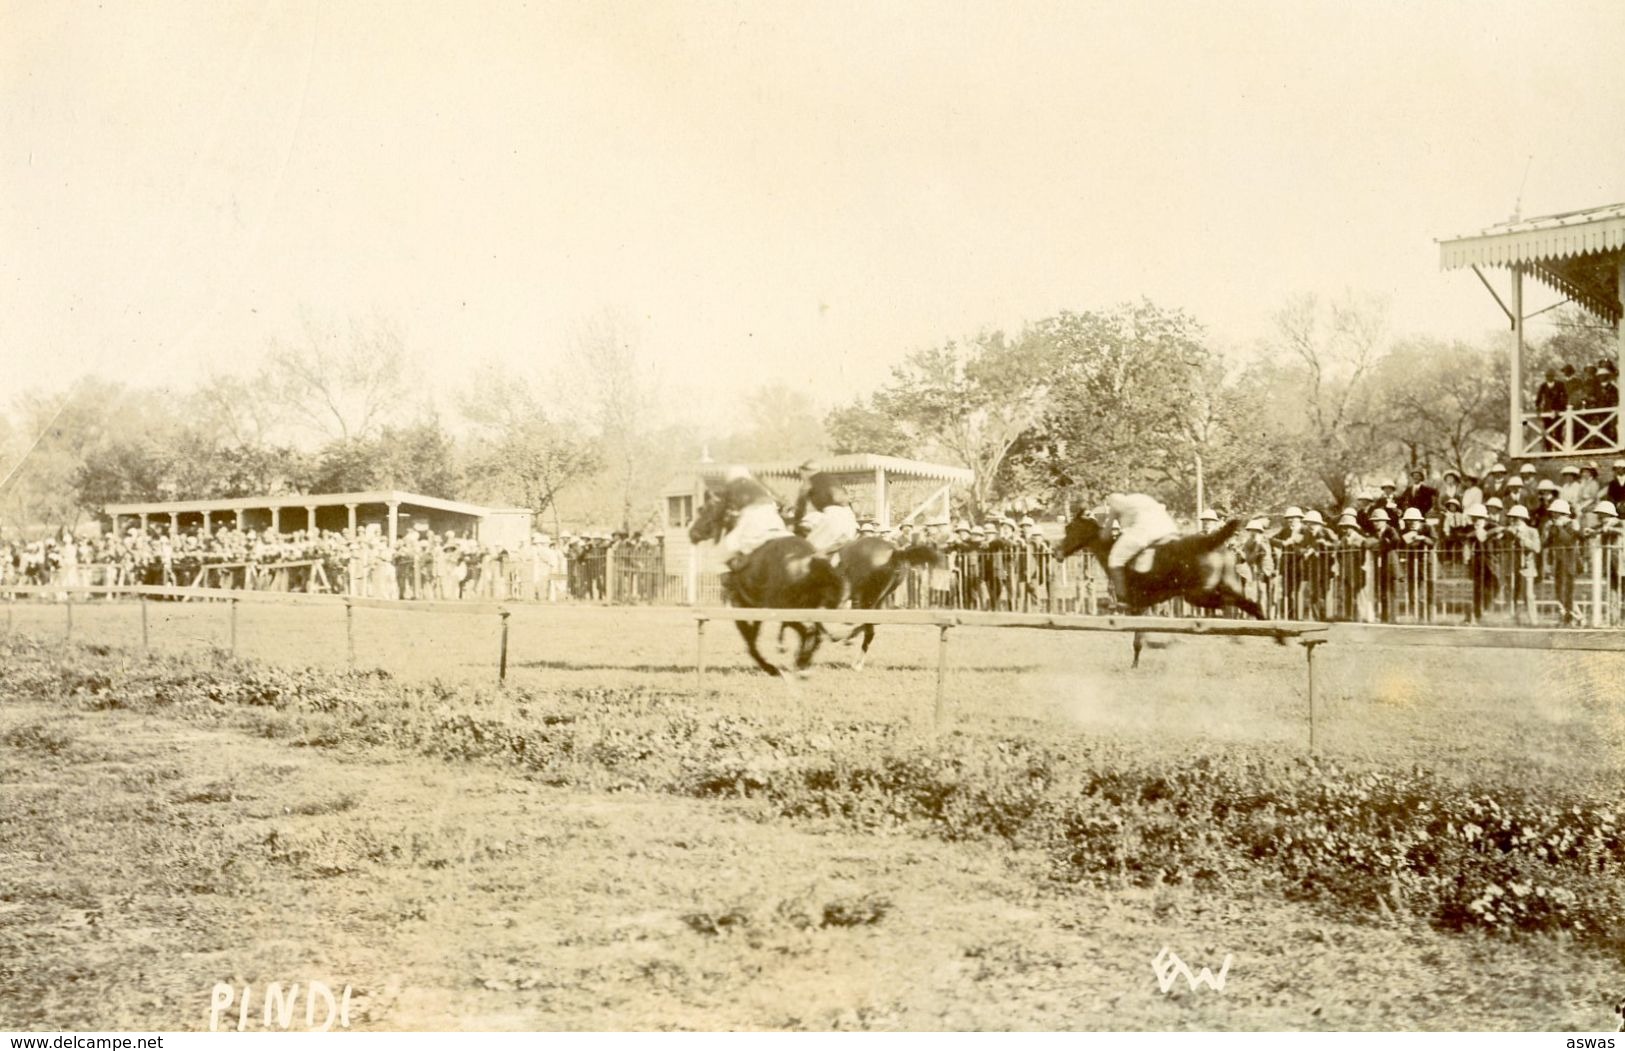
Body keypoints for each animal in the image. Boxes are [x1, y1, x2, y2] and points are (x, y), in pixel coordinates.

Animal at [685, 490, 845, 679]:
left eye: (703, 509)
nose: (692, 533)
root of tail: (813, 561)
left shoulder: (742, 605)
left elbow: (749, 639)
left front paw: (768, 666)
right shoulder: (757, 607)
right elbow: (753, 636)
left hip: (785, 608)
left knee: (808, 631)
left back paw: (798, 661)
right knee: (813, 633)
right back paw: (801, 661)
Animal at [1059, 510, 1274, 666]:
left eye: (1070, 529)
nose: (1056, 552)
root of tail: (1210, 541)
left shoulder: (1136, 605)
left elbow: (1137, 638)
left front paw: (1135, 664)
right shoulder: (1142, 605)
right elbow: (1141, 635)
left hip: (1198, 594)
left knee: (1231, 603)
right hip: (1223, 585)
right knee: (1249, 603)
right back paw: (1267, 629)